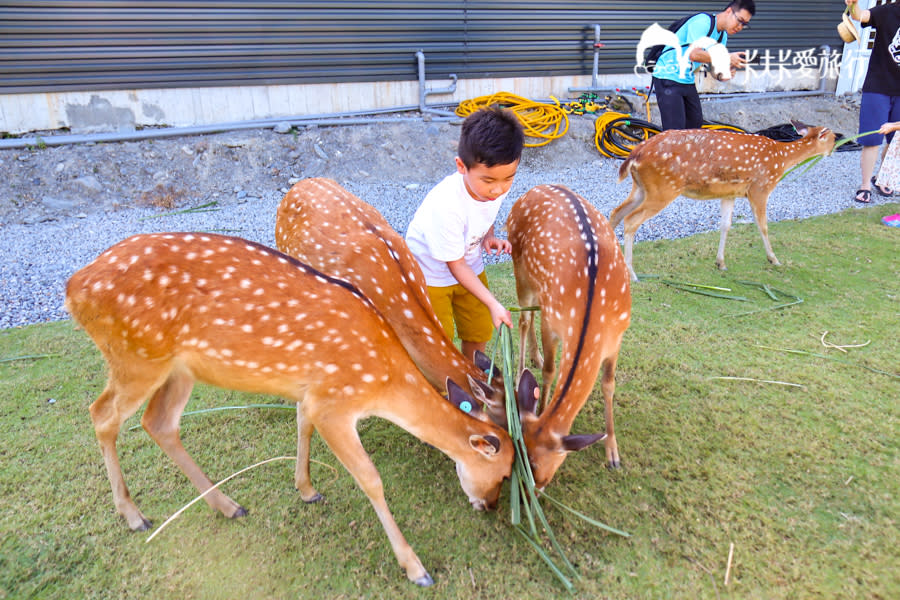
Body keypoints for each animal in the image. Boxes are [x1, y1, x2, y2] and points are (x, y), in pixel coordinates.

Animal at [66, 232, 510, 588]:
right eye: (505, 473)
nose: (490, 506)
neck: (384, 378)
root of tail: (73, 287)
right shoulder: (336, 400)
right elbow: (370, 479)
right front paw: (416, 568)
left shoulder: (311, 392)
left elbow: (301, 423)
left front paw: (307, 489)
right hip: (135, 357)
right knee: (101, 414)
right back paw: (134, 515)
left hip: (177, 368)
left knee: (158, 422)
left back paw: (228, 506)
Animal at [506, 183, 632, 488]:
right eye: (520, 455)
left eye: (535, 466)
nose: (530, 492)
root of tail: (533, 189)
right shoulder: (553, 323)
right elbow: (551, 372)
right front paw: (542, 409)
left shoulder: (618, 335)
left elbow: (608, 384)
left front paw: (613, 453)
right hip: (519, 266)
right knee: (524, 319)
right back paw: (521, 370)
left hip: (539, 287)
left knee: (531, 314)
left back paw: (534, 358)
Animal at [612, 122, 836, 284]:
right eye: (833, 138)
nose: (834, 148)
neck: (781, 159)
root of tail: (635, 153)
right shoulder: (760, 188)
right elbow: (762, 225)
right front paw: (774, 259)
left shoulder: (730, 193)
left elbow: (725, 225)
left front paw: (720, 263)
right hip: (663, 188)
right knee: (630, 220)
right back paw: (633, 274)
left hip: (641, 188)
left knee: (616, 212)